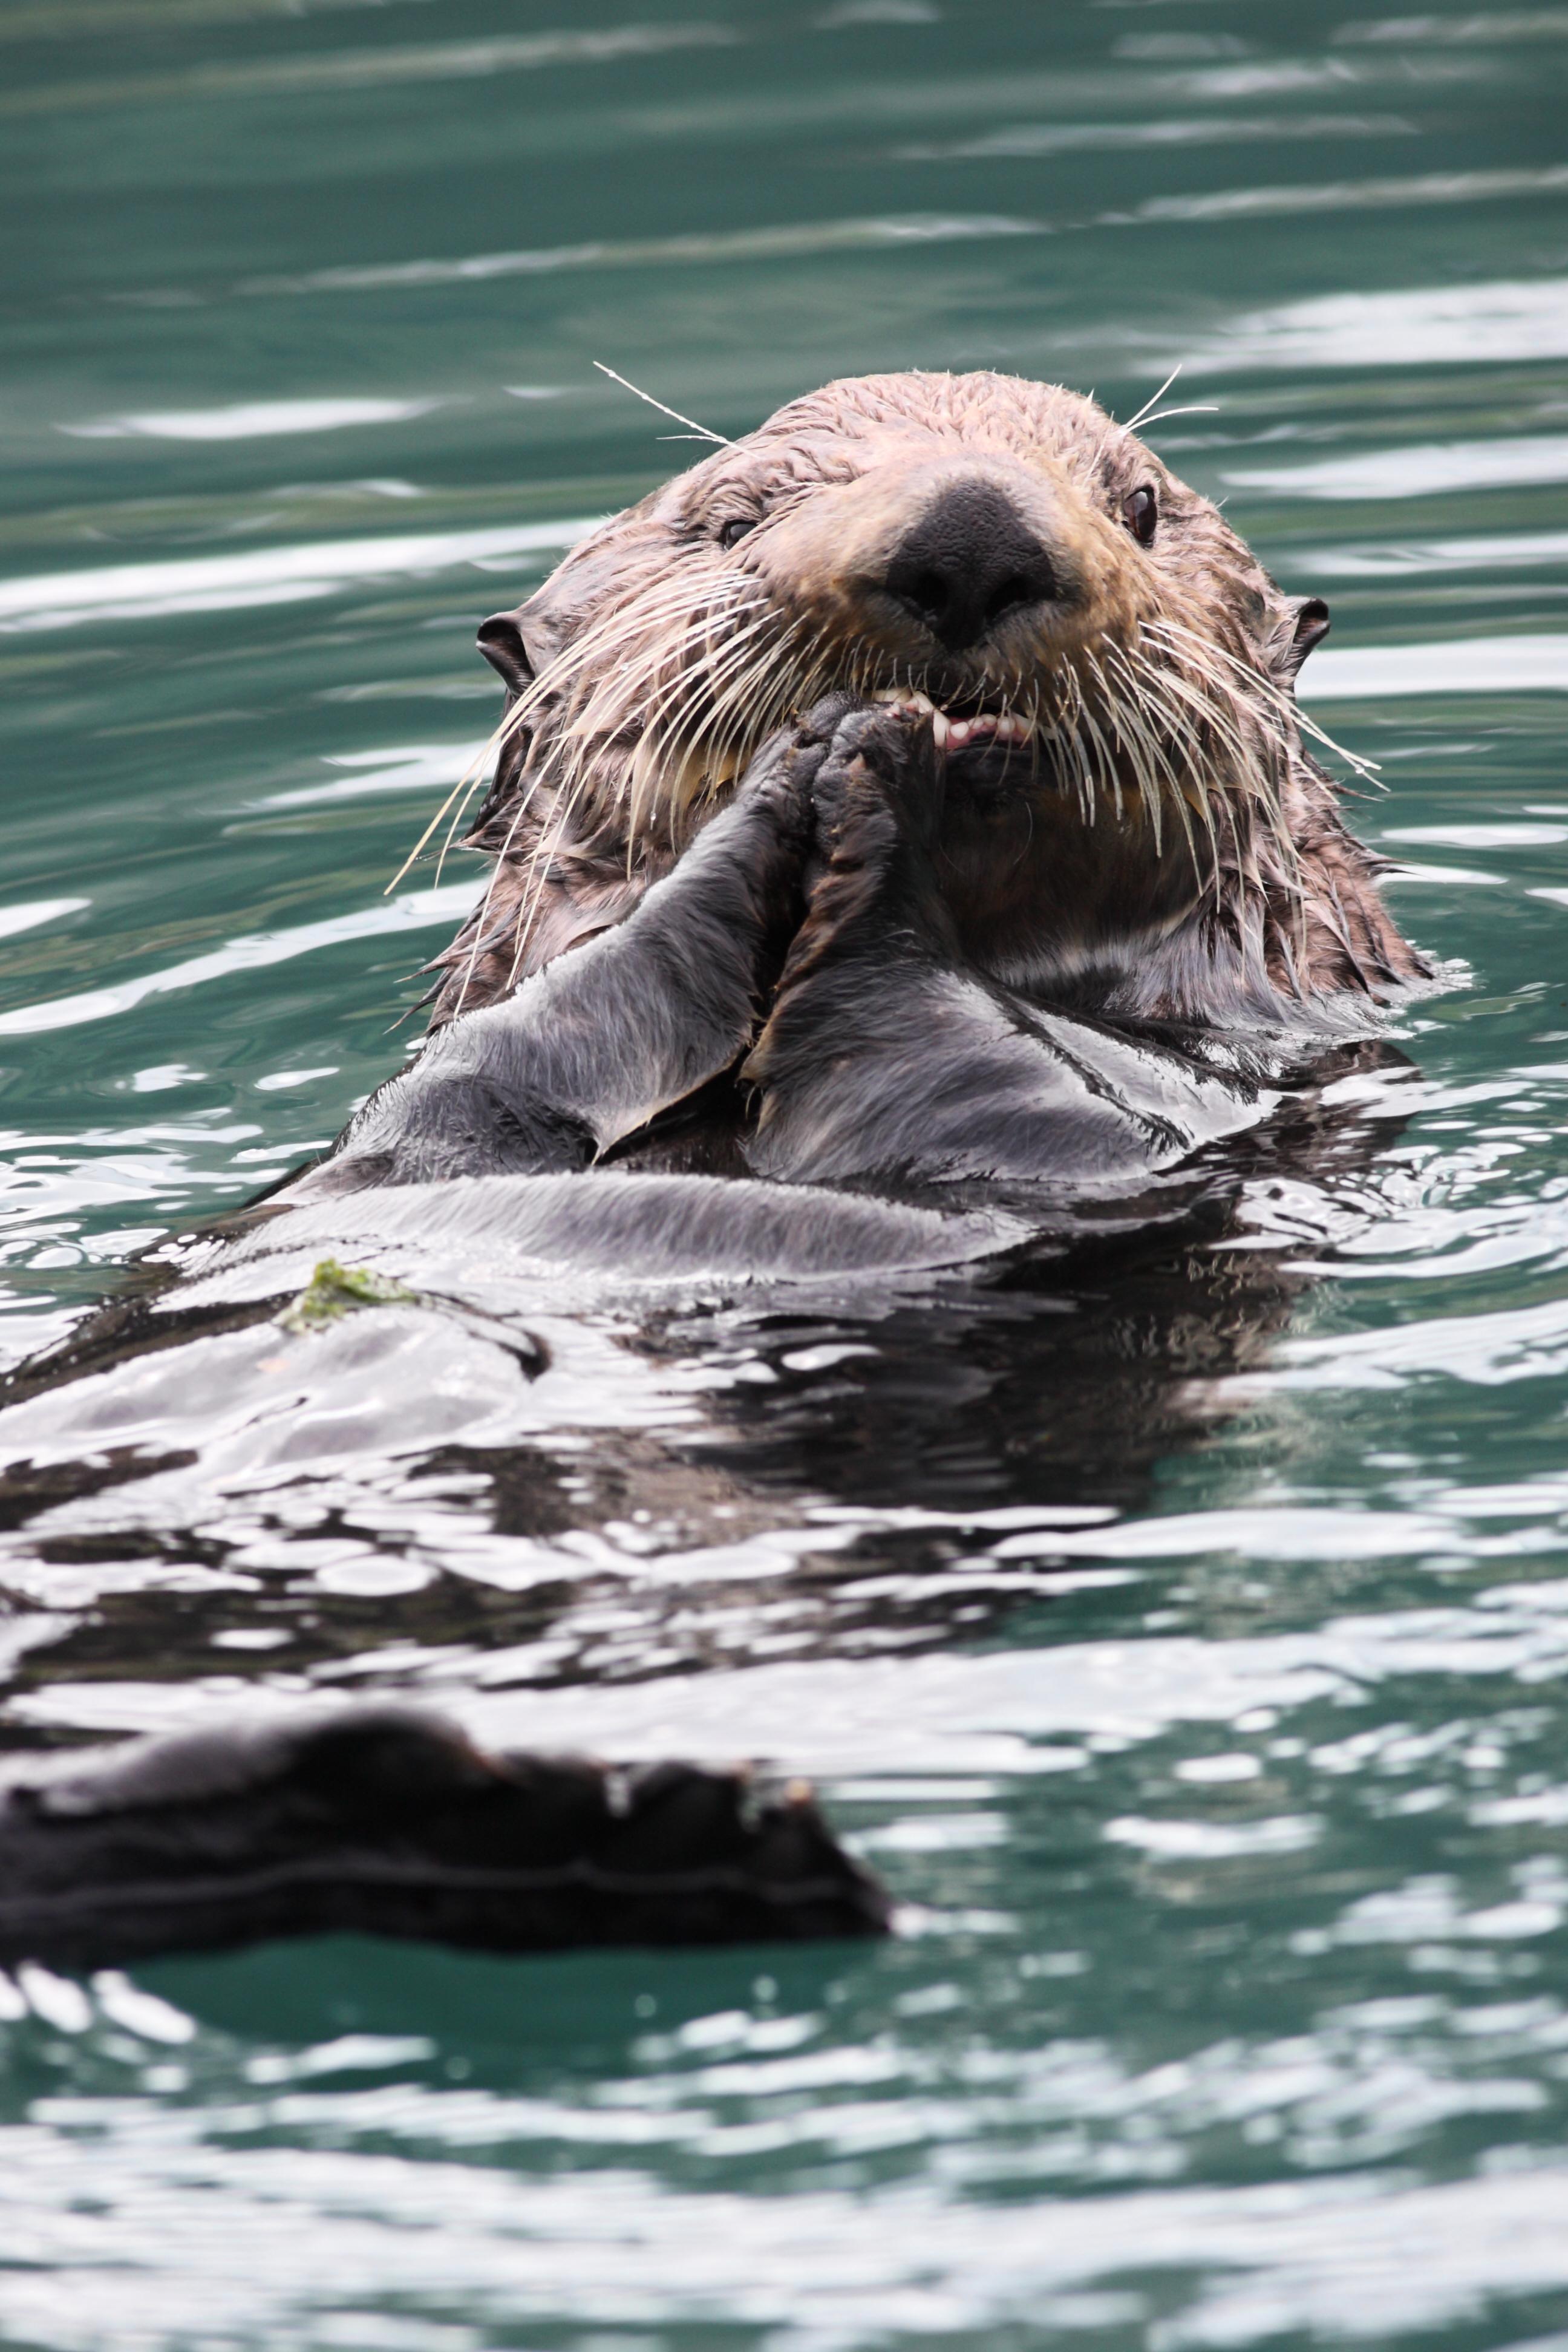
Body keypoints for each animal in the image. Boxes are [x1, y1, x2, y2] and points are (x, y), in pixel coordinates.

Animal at [292, 368, 1426, 1205]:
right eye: (736, 520)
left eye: (1141, 507)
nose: (971, 531)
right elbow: (502, 1065)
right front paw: (807, 772)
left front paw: (859, 790)